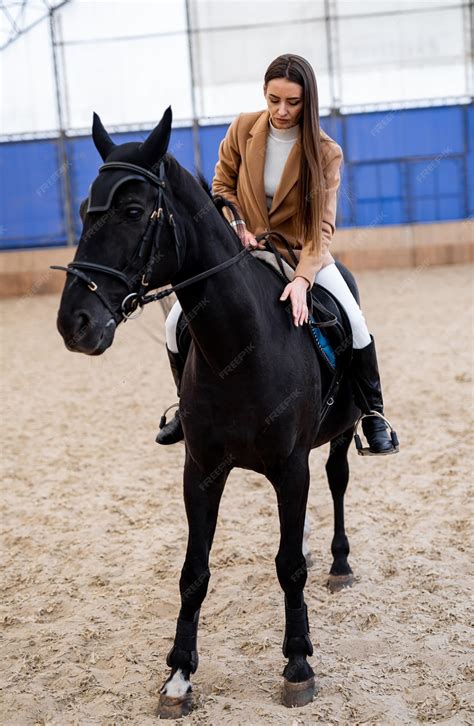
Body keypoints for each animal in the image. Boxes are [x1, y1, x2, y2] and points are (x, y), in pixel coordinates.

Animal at [54, 106, 364, 719]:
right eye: (82, 211)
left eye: (132, 211)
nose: (74, 323)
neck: (239, 346)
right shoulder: (200, 469)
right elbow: (194, 571)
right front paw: (178, 676)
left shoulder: (290, 466)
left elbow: (288, 566)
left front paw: (298, 663)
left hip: (339, 434)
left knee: (337, 479)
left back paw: (338, 563)